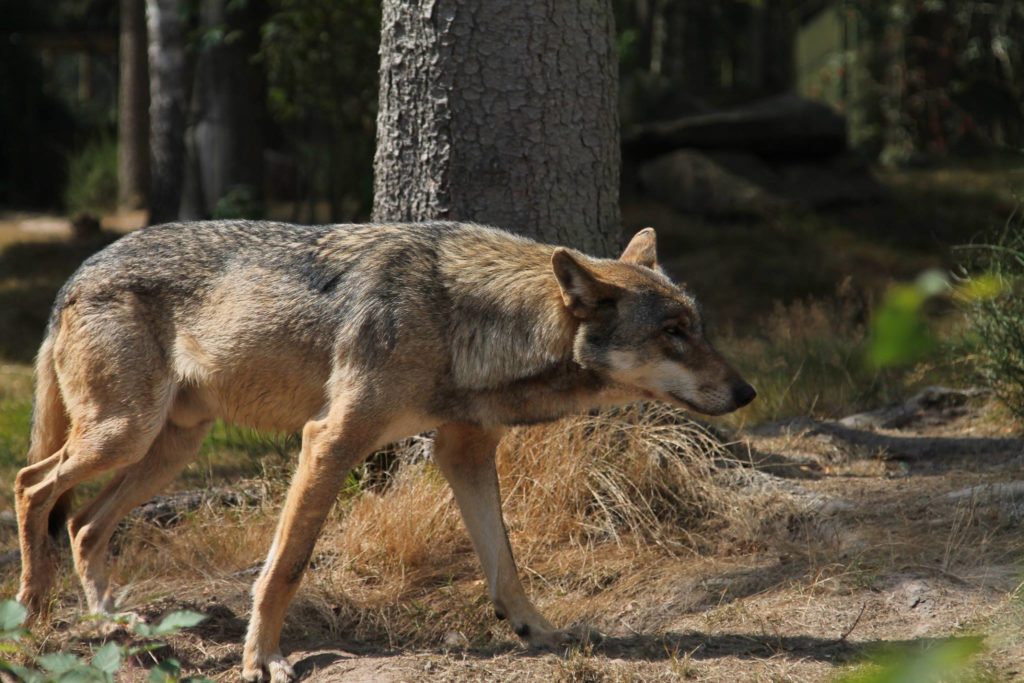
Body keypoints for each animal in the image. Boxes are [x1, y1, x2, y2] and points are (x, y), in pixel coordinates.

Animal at [12, 222, 757, 679]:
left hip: (167, 448)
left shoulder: (464, 451)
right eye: (673, 332)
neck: (463, 317)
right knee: (31, 484)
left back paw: (112, 622)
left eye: (697, 325)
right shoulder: (329, 441)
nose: (747, 390)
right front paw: (262, 659)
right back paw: (33, 614)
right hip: (124, 434)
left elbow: (506, 564)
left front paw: (537, 630)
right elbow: (284, 569)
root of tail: (77, 273)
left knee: (83, 524)